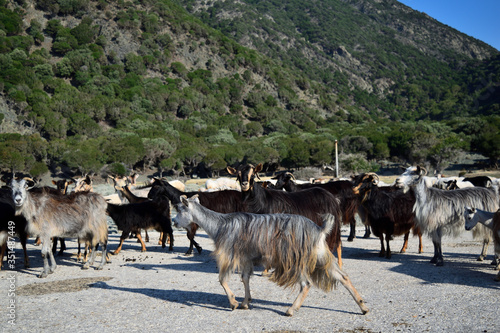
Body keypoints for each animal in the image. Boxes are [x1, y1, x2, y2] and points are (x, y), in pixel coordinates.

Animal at [174, 193, 370, 316]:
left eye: (180, 209)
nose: (174, 222)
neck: (219, 225)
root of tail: (320, 230)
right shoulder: (246, 258)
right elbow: (245, 278)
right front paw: (245, 302)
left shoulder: (229, 254)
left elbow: (222, 279)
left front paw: (234, 303)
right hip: (321, 255)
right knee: (343, 276)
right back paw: (363, 306)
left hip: (295, 258)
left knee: (306, 284)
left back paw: (291, 310)